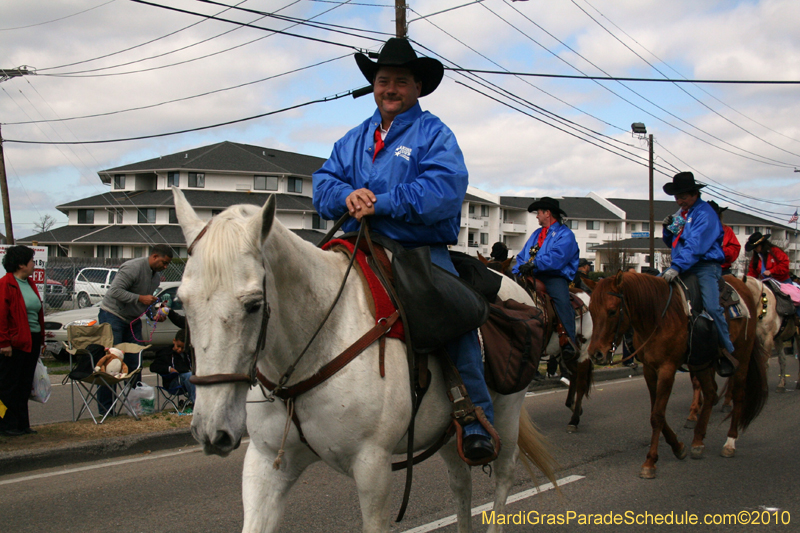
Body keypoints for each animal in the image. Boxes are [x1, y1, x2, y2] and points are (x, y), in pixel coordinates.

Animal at [173, 189, 556, 528]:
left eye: (253, 304)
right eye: (182, 301)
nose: (211, 430)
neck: (317, 343)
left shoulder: (373, 468)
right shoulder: (265, 463)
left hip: (505, 417)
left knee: (503, 477)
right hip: (447, 433)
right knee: (461, 483)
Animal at [588, 270, 768, 478]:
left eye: (612, 311)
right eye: (590, 311)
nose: (596, 354)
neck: (657, 317)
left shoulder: (667, 369)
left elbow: (657, 415)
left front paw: (650, 461)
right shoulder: (650, 369)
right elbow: (655, 411)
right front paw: (678, 447)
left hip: (742, 355)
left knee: (738, 395)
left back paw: (730, 442)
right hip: (701, 362)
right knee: (710, 392)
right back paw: (697, 441)